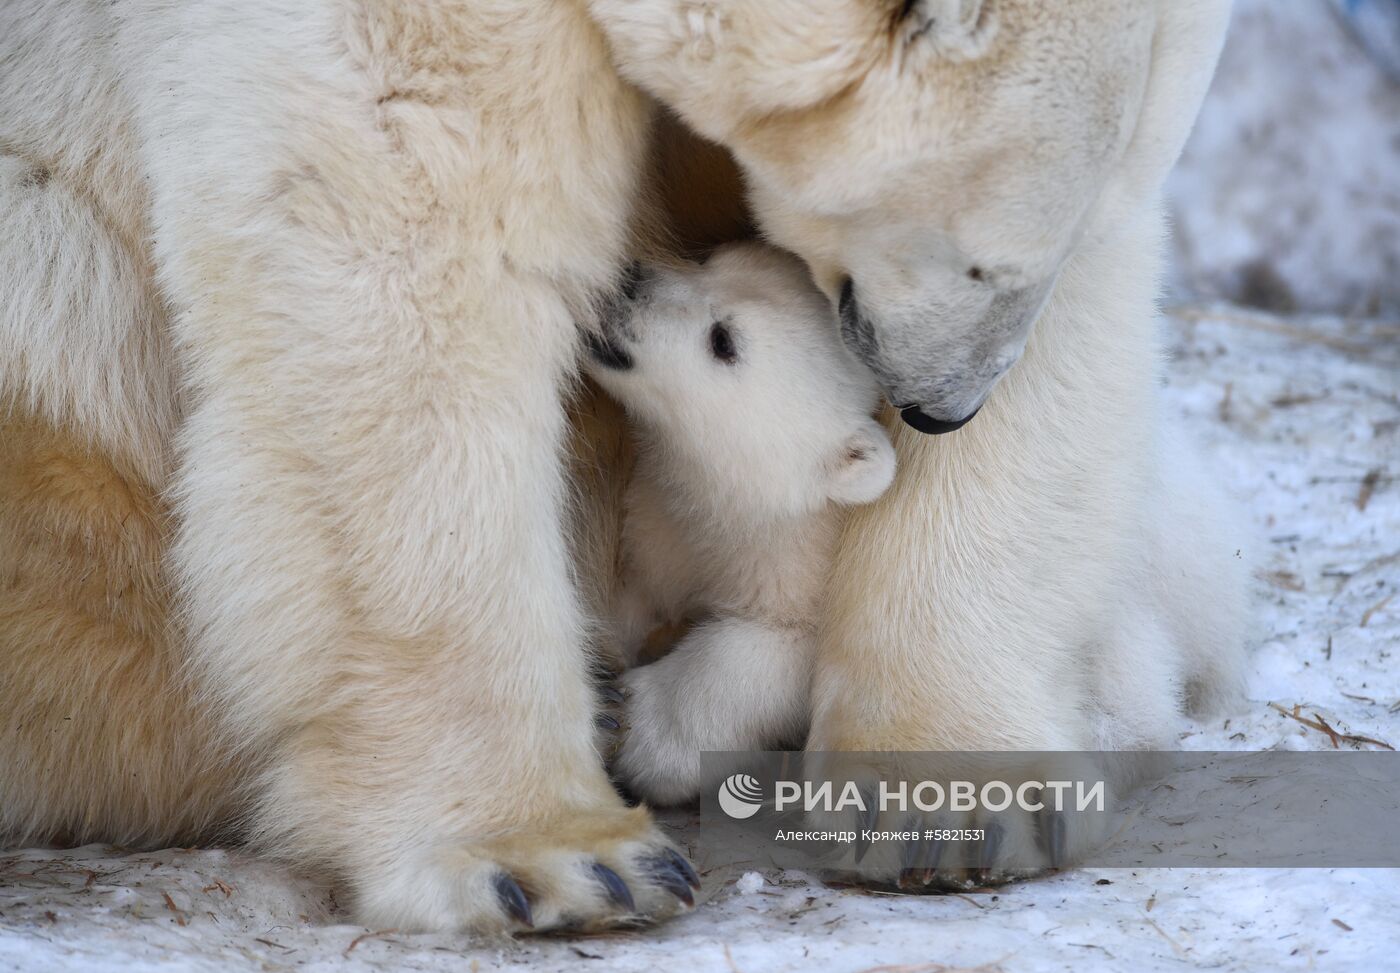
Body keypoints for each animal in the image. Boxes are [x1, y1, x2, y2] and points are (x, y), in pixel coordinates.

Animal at [0, 0, 1248, 935]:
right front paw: (558, 859)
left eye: (1041, 245)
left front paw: (948, 803)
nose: (940, 410)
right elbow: (411, 238)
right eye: (984, 256)